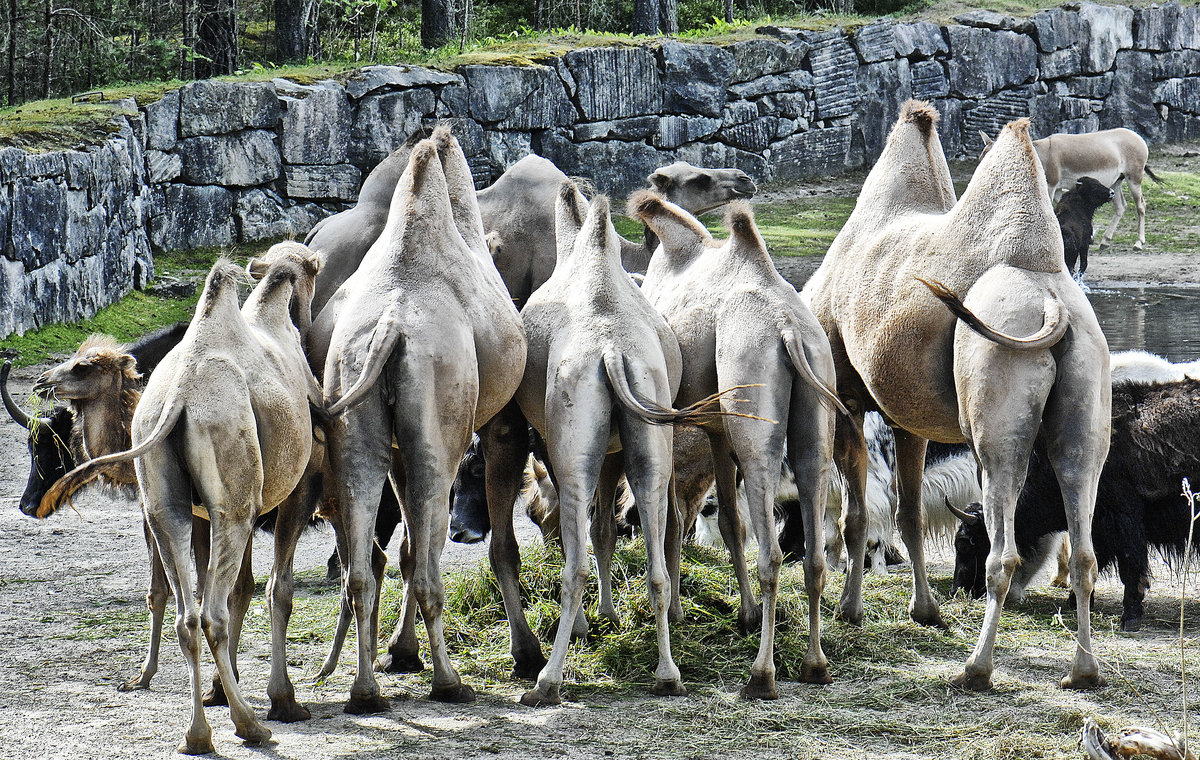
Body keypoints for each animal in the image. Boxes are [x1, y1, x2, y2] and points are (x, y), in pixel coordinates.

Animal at [319, 124, 525, 710]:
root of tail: (391, 327)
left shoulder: (393, 450)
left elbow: (404, 549)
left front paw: (399, 653)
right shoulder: (474, 429)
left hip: (355, 417)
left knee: (363, 569)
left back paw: (365, 691)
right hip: (440, 430)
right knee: (431, 559)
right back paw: (450, 682)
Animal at [628, 190, 844, 701]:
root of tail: (788, 327)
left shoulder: (685, 423)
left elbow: (678, 517)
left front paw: (680, 612)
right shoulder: (717, 427)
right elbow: (728, 520)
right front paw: (743, 615)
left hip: (754, 420)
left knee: (773, 553)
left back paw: (761, 676)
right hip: (813, 417)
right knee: (813, 550)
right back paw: (815, 665)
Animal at [801, 102, 1108, 691]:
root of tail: (1051, 299)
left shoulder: (848, 396)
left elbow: (858, 517)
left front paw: (851, 610)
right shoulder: (910, 418)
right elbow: (910, 512)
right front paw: (925, 610)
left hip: (997, 422)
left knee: (1004, 554)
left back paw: (976, 668)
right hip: (1083, 413)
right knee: (1082, 543)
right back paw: (1082, 671)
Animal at [950, 376, 1200, 629]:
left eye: (965, 544)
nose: (957, 590)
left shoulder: (1123, 520)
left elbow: (1129, 565)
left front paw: (1130, 617)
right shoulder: (1096, 528)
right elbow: (1090, 561)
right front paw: (1076, 600)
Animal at [984, 127, 1161, 248]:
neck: (1042, 155)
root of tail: (1137, 137)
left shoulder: (1051, 186)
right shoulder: (1059, 190)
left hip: (1134, 178)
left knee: (1140, 206)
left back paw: (1139, 242)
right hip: (1116, 182)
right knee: (1120, 207)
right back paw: (1105, 241)